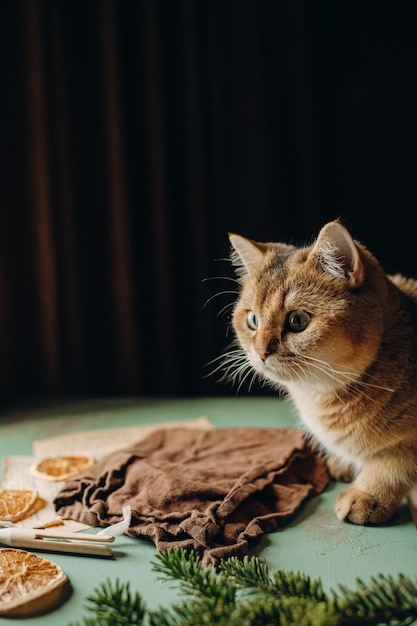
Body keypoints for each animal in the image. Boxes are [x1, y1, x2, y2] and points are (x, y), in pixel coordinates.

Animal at [226, 219, 416, 520]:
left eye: (297, 321)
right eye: (253, 320)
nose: (261, 352)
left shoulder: (408, 444)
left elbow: (393, 466)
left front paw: (368, 495)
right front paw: (344, 463)